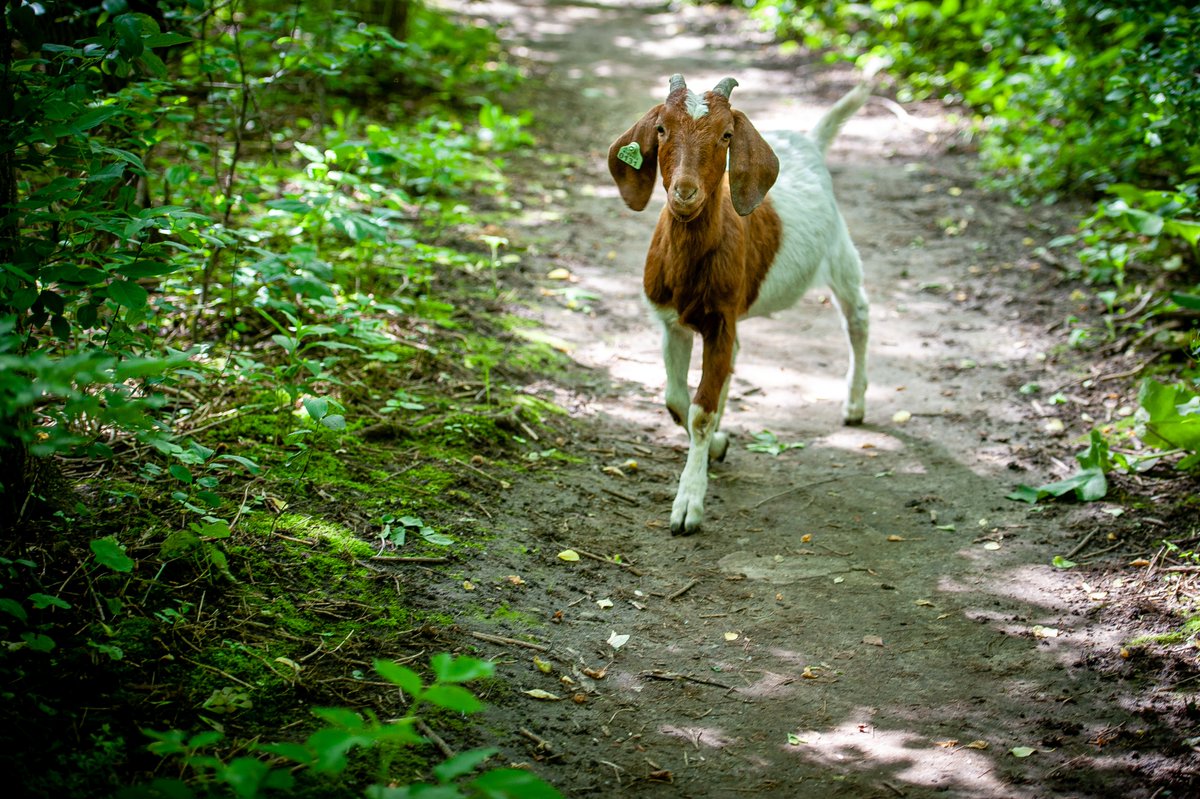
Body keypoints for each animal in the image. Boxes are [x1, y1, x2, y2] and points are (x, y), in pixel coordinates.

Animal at [607, 74, 871, 535]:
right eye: (661, 128)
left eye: (726, 135)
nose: (685, 192)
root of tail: (809, 141)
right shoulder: (671, 323)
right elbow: (677, 400)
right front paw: (716, 446)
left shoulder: (720, 322)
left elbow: (700, 411)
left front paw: (688, 504)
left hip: (839, 249)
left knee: (857, 315)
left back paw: (854, 405)